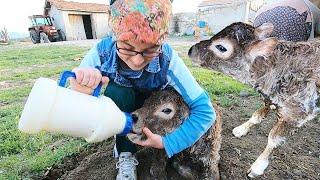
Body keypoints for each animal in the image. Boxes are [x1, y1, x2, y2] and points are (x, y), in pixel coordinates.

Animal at [188, 22, 320, 177]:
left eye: (221, 47)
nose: (191, 50)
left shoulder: (298, 114)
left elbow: (274, 138)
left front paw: (258, 166)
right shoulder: (269, 98)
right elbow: (257, 115)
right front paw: (242, 129)